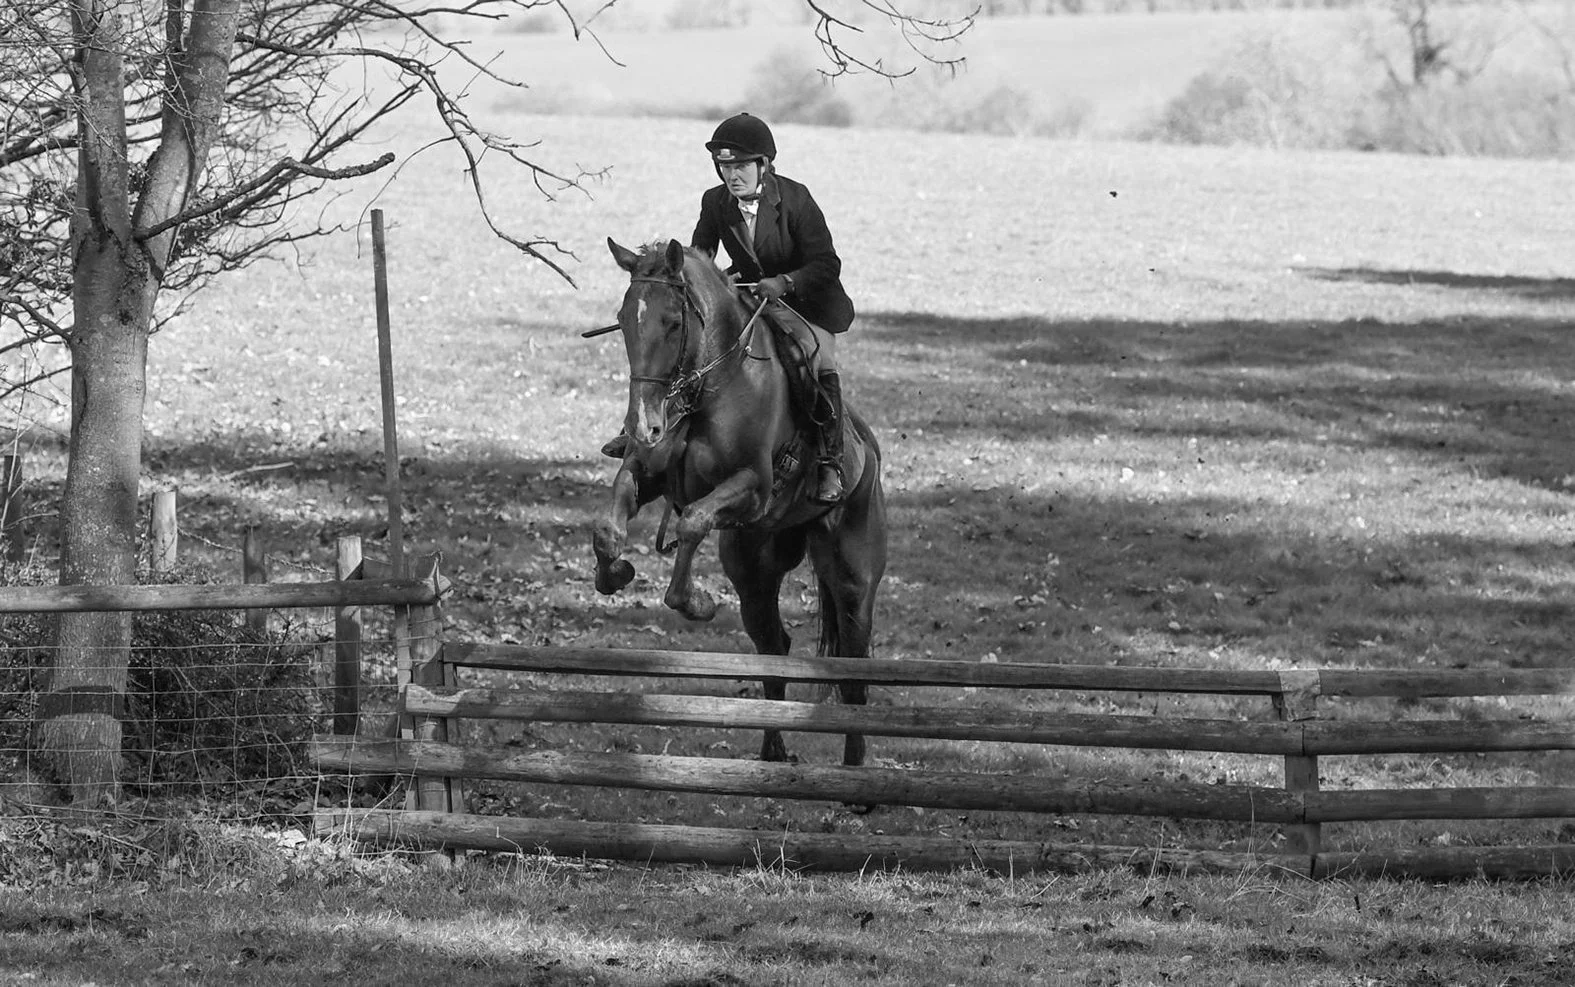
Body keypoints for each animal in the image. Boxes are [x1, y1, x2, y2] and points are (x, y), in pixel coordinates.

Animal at [591, 237, 887, 766]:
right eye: (624, 319)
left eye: (673, 322)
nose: (643, 425)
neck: (709, 384)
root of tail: (867, 448)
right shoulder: (645, 471)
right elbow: (609, 528)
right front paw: (615, 573)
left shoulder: (752, 488)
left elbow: (693, 522)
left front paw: (696, 602)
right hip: (753, 567)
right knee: (774, 647)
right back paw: (772, 753)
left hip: (853, 577)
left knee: (855, 669)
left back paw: (855, 772)